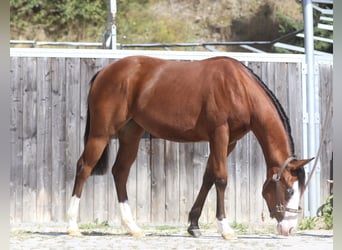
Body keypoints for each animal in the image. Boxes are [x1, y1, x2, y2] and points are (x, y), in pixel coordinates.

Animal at [65, 55, 314, 239]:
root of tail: (104, 72)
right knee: (84, 167)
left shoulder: (229, 141)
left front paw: (193, 225)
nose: (289, 228)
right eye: (289, 190)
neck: (239, 88)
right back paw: (72, 226)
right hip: (101, 133)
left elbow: (208, 177)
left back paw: (133, 227)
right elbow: (221, 179)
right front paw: (225, 228)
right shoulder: (219, 134)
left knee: (120, 172)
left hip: (130, 134)